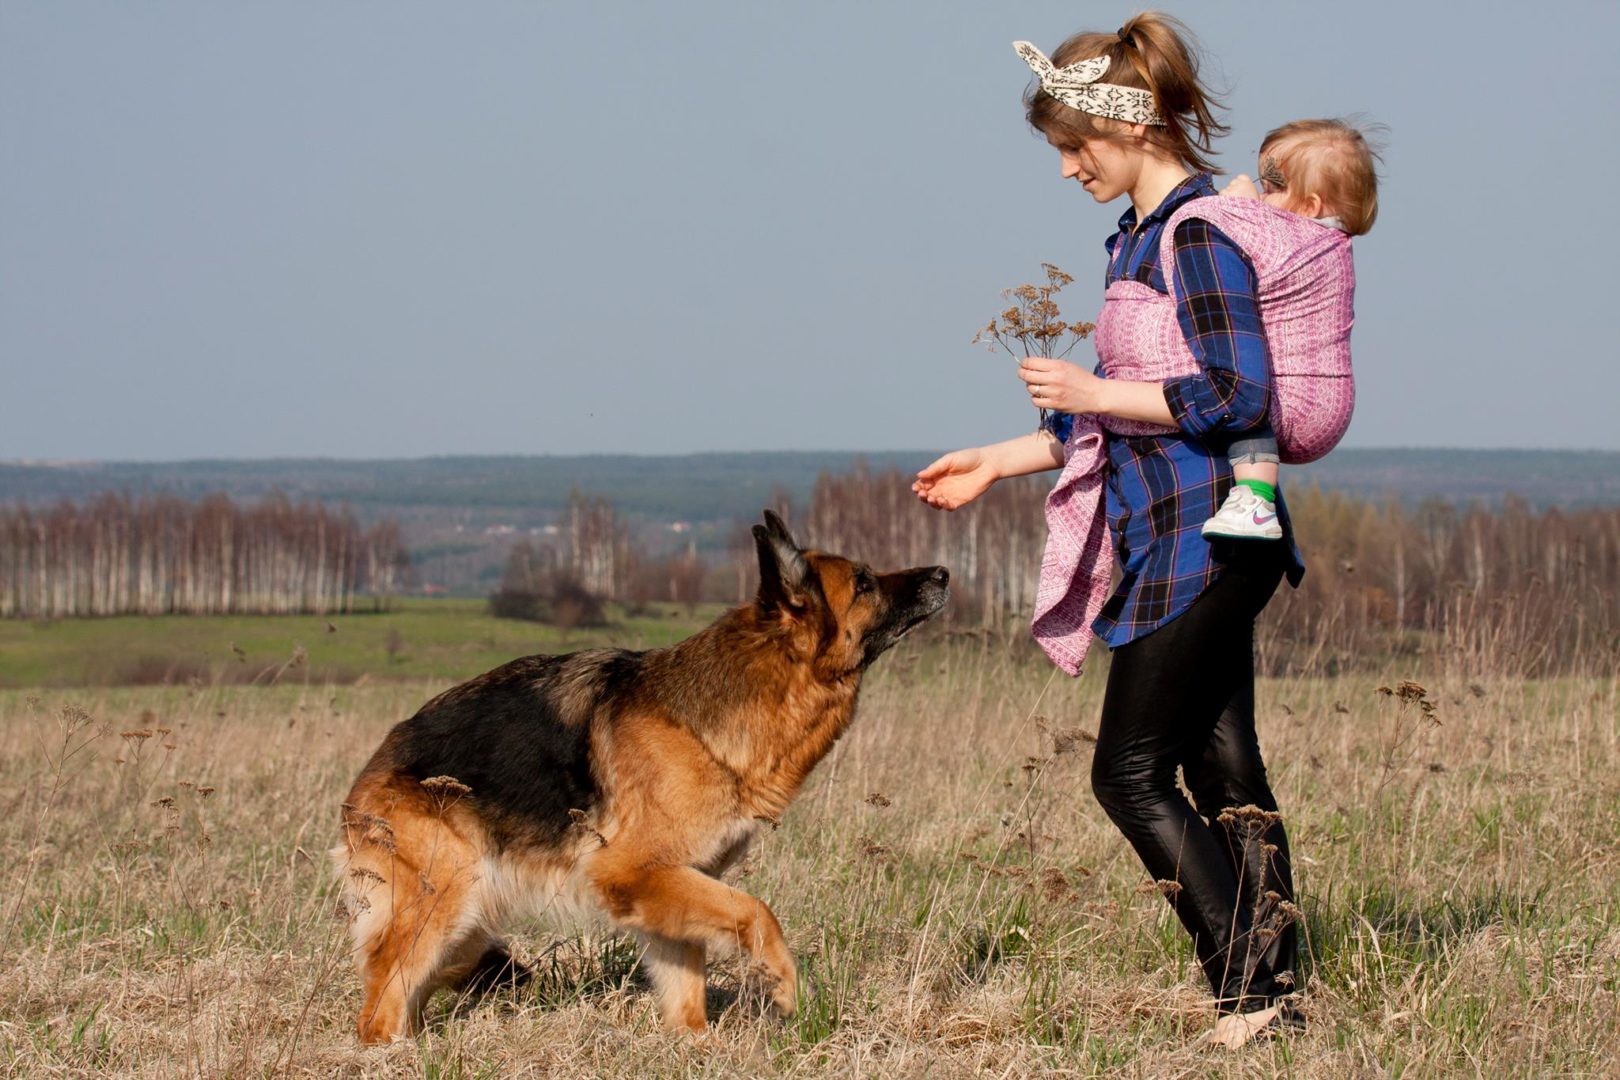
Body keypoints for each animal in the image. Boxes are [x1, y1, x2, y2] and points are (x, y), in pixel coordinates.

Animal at [335, 511, 946, 1042]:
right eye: (864, 582)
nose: (942, 572)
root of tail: (374, 766)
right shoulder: (633, 871)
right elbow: (757, 911)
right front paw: (788, 988)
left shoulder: (670, 881)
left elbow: (687, 978)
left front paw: (696, 1044)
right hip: (444, 903)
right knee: (379, 1006)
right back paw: (392, 1052)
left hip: (465, 925)